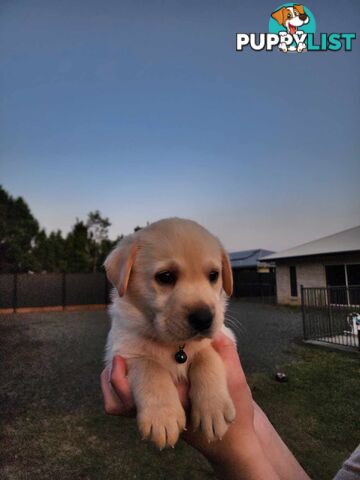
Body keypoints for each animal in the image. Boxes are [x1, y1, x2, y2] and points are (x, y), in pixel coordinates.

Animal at [103, 218, 236, 450]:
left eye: (213, 275)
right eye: (165, 277)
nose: (204, 318)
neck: (176, 345)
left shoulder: (218, 338)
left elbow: (207, 358)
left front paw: (213, 408)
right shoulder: (122, 352)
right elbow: (151, 367)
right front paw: (162, 417)